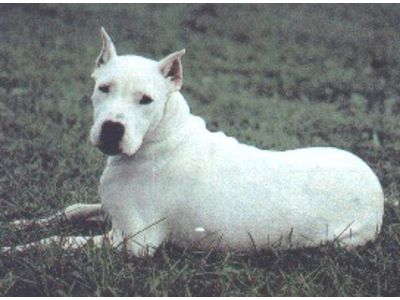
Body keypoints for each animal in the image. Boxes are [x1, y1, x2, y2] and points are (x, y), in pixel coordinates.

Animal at [2, 28, 384, 256]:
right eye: (103, 88)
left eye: (146, 100)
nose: (112, 129)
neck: (159, 138)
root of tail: (377, 188)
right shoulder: (109, 214)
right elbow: (72, 210)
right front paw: (18, 225)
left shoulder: (134, 241)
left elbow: (58, 241)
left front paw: (16, 250)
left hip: (339, 241)